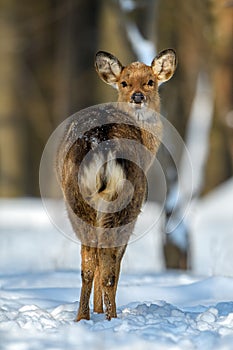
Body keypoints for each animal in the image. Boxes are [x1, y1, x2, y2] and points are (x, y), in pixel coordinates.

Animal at [56, 47, 177, 322]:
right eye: (124, 82)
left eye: (150, 81)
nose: (138, 96)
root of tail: (100, 145)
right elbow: (113, 264)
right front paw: (104, 311)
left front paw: (97, 311)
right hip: (126, 201)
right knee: (110, 266)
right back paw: (112, 317)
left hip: (77, 199)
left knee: (89, 262)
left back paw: (83, 317)